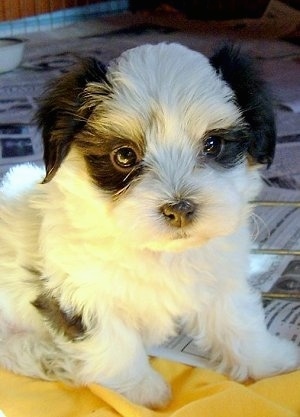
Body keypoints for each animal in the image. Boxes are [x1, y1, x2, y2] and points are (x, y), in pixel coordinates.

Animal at [0, 42, 298, 406]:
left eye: (212, 144)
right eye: (125, 155)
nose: (180, 209)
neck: (160, 251)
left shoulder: (219, 276)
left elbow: (236, 318)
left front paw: (268, 360)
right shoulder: (79, 290)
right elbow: (112, 342)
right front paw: (140, 391)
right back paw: (48, 359)